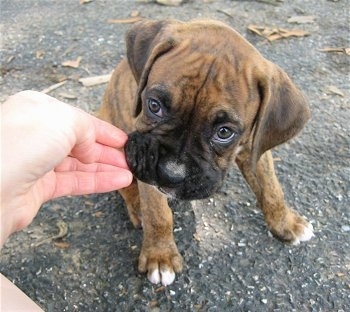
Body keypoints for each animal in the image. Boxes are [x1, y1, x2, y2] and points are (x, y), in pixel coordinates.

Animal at [98, 19, 314, 286]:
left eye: (224, 132)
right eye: (154, 106)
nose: (170, 175)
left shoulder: (255, 148)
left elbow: (271, 188)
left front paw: (285, 222)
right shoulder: (144, 155)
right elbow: (157, 213)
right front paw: (160, 256)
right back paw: (136, 205)